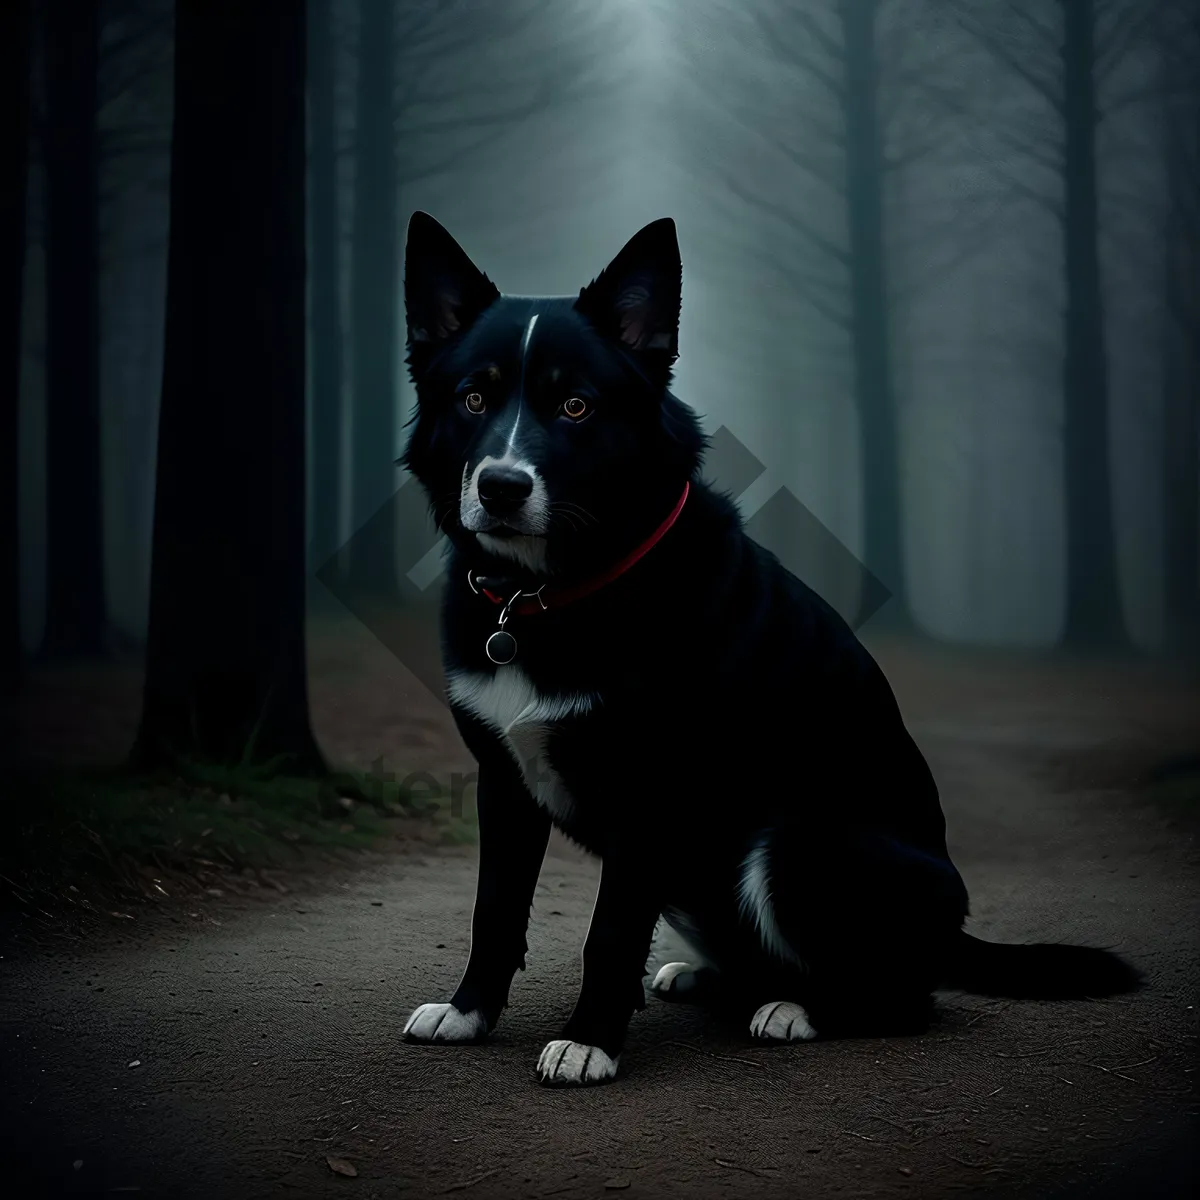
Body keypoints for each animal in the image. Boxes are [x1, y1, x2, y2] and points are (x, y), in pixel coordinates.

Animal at [398, 211, 1137, 1084]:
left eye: (576, 405)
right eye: (473, 397)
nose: (502, 487)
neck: (549, 595)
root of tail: (955, 932)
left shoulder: (650, 790)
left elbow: (607, 932)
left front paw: (590, 1041)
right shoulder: (504, 785)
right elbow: (494, 910)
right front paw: (469, 1012)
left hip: (797, 843)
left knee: (903, 999)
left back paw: (797, 1009)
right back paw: (714, 976)